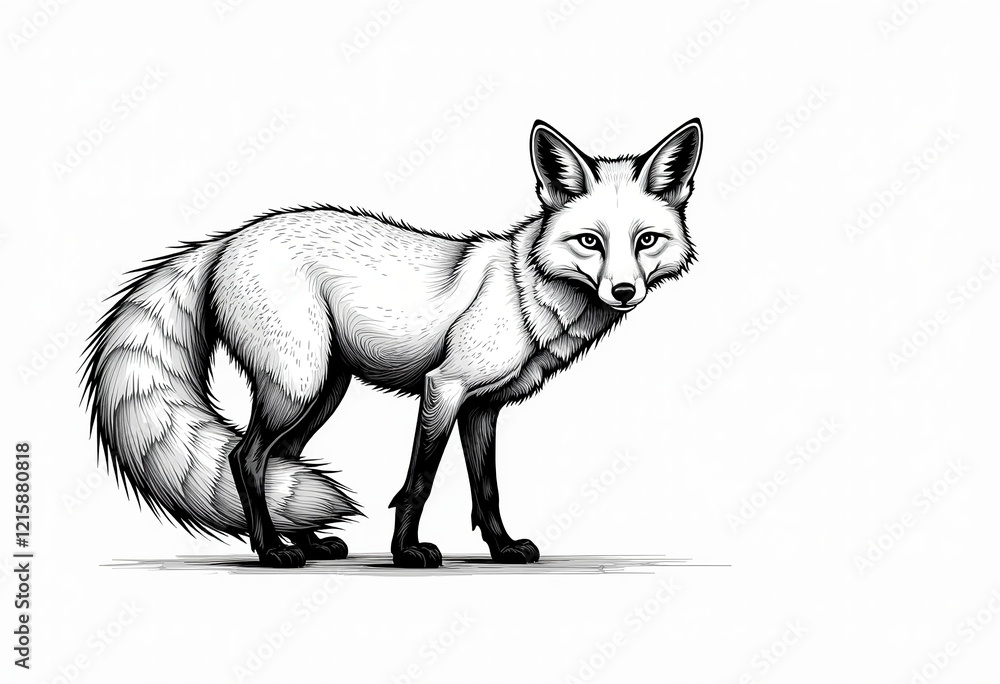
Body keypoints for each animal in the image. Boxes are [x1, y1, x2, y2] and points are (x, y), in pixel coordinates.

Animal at [83, 118, 703, 568]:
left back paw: (309, 543)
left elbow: (487, 490)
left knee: (281, 459)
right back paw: (272, 551)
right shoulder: (444, 388)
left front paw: (502, 549)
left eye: (646, 241)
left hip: (323, 390)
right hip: (297, 384)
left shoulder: (481, 407)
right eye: (590, 241)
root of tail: (229, 238)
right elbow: (418, 483)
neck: (523, 288)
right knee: (246, 457)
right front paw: (406, 552)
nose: (623, 291)